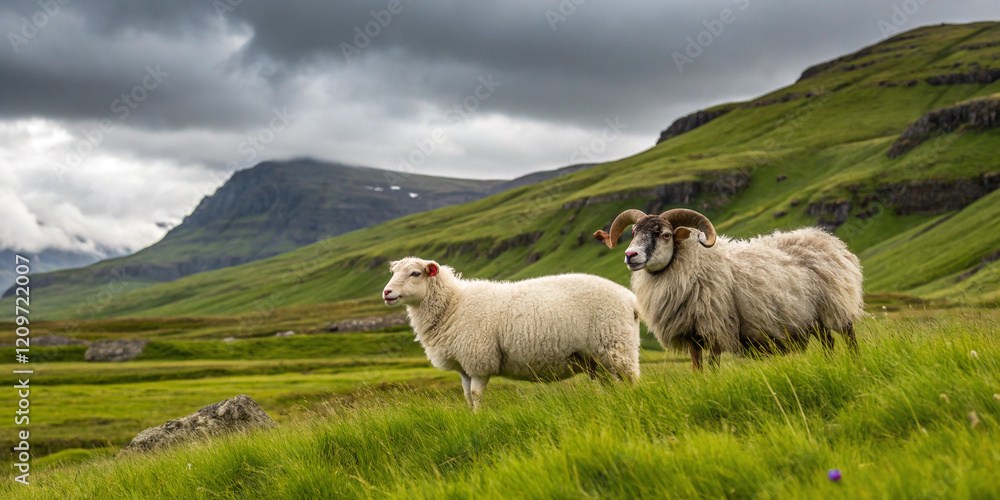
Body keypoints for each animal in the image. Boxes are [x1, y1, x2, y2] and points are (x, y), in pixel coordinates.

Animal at [382, 257, 641, 409]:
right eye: (393, 272)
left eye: (415, 273)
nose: (386, 292)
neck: (453, 305)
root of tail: (631, 299)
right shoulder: (464, 366)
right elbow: (467, 396)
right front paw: (471, 418)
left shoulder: (479, 360)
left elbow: (476, 394)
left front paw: (479, 419)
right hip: (597, 359)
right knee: (612, 384)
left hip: (617, 344)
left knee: (632, 380)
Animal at [594, 208, 864, 370]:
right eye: (634, 232)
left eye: (666, 235)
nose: (630, 255)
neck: (695, 265)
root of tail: (829, 240)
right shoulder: (690, 333)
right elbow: (697, 366)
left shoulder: (716, 326)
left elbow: (713, 365)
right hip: (813, 318)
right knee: (828, 342)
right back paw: (830, 365)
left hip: (835, 304)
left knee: (849, 337)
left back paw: (854, 363)